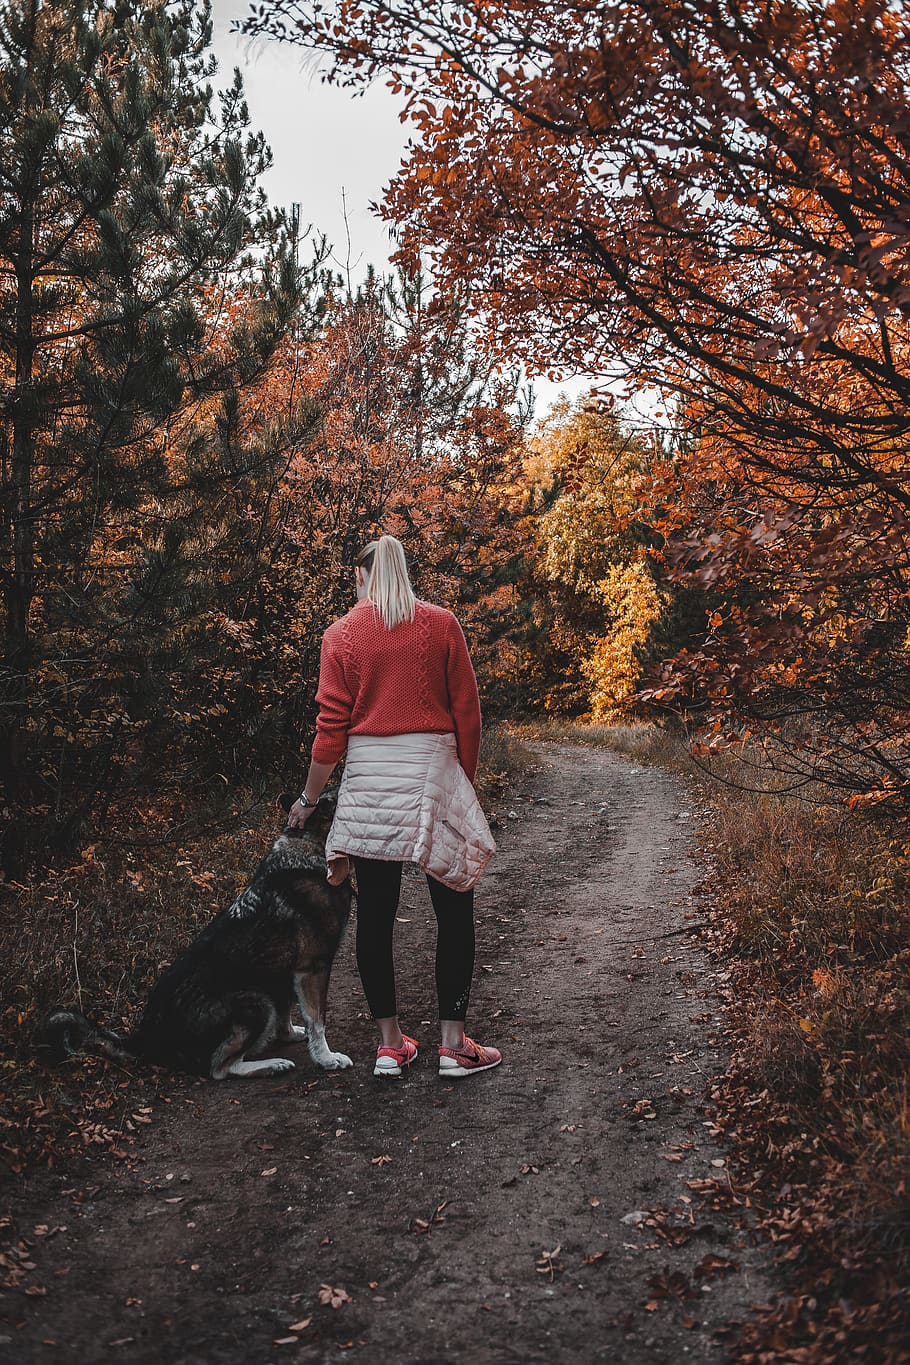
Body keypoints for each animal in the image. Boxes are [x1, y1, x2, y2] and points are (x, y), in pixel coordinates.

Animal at [39, 797, 354, 1081]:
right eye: (333, 797)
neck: (308, 846)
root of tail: (146, 1034)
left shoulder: (284, 971)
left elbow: (289, 1011)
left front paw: (289, 1034)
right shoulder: (312, 967)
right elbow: (317, 1021)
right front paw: (326, 1059)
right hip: (256, 1002)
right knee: (220, 1068)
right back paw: (271, 1065)